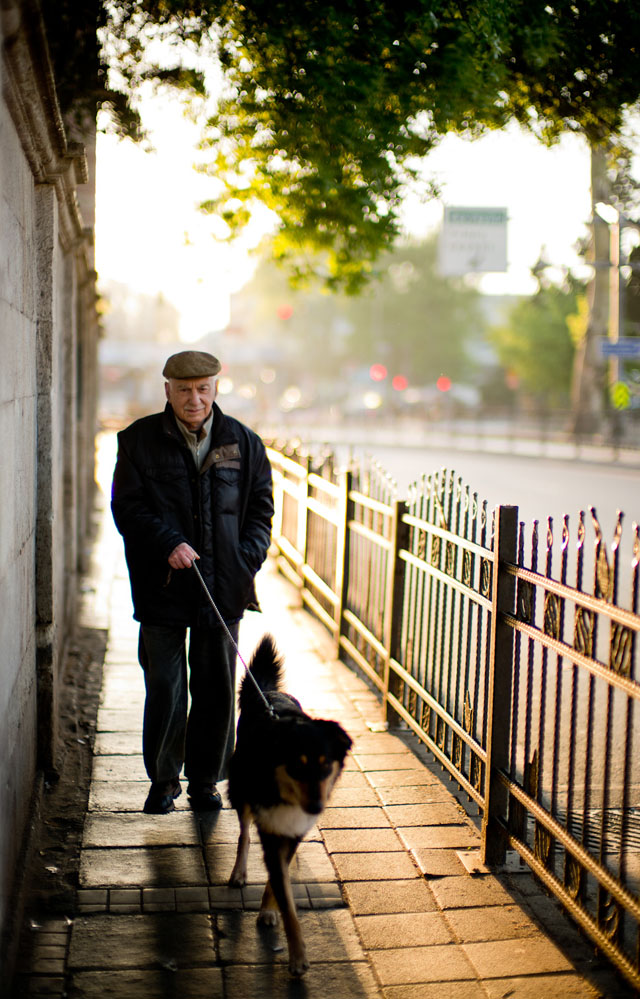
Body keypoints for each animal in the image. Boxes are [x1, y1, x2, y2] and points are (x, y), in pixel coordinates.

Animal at [229, 636, 352, 972]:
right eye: (297, 767)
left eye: (326, 766)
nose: (317, 807)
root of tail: (268, 691)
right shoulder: (271, 828)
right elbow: (286, 901)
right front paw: (297, 956)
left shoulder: (293, 830)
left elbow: (278, 880)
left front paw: (268, 909)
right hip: (241, 791)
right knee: (243, 833)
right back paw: (239, 873)